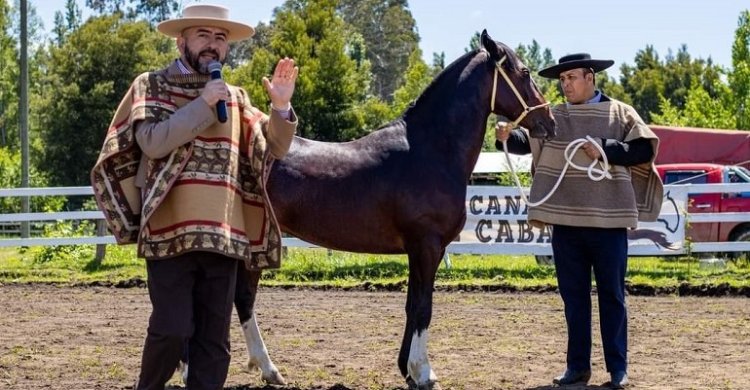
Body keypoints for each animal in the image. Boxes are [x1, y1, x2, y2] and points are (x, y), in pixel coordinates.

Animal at [232, 31, 556, 390]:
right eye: (524, 72)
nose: (549, 122)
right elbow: (424, 308)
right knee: (243, 299)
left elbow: (411, 305)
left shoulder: (419, 250)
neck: (431, 151)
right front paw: (423, 372)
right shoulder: (427, 246)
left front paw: (408, 370)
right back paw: (268, 368)